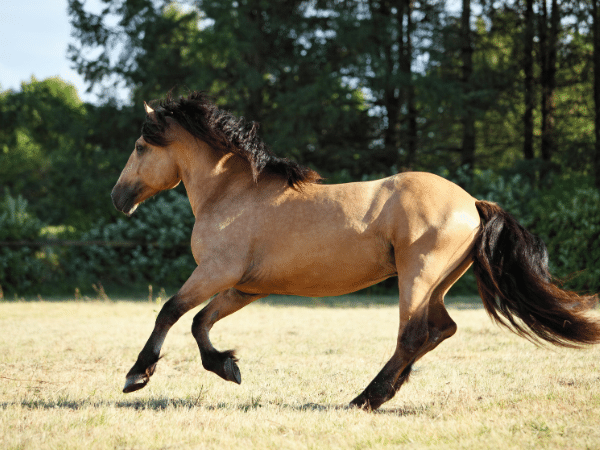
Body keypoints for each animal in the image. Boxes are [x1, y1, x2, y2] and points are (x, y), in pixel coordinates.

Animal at [111, 91, 600, 412]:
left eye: (139, 146)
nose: (118, 198)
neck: (232, 193)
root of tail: (472, 204)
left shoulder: (215, 273)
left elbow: (170, 312)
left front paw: (137, 375)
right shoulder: (245, 287)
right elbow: (200, 322)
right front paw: (227, 366)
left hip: (417, 277)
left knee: (413, 334)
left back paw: (366, 398)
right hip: (436, 284)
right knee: (441, 330)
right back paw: (383, 393)